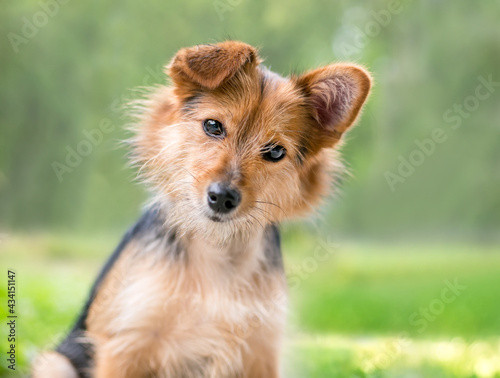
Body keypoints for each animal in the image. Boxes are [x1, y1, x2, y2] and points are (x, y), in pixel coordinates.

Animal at [33, 39, 372, 376]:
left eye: (275, 152)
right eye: (212, 126)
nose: (222, 198)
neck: (216, 248)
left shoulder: (259, 351)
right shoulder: (125, 342)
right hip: (55, 362)